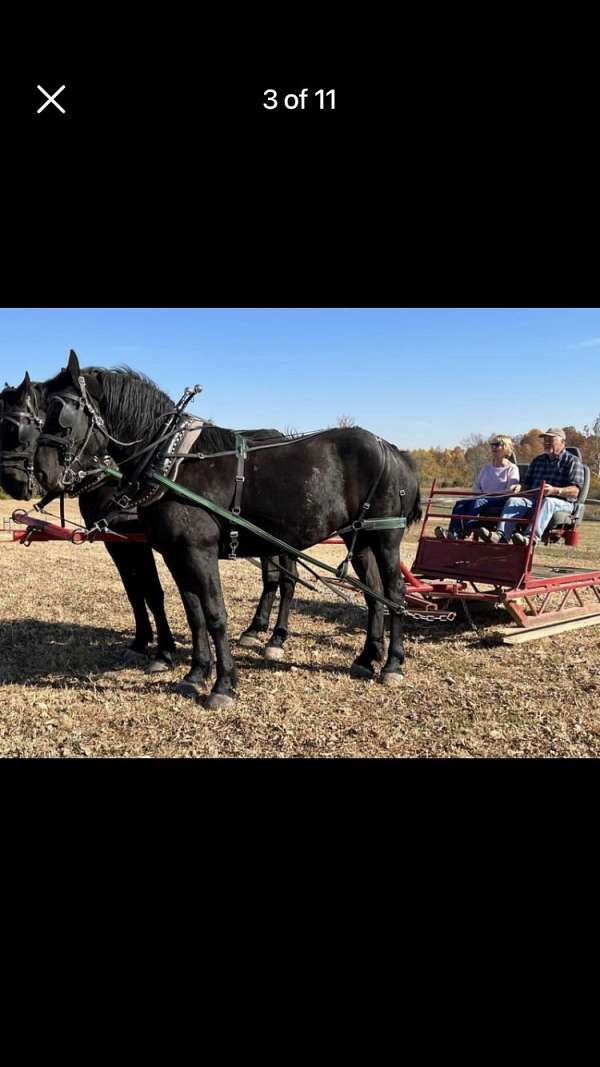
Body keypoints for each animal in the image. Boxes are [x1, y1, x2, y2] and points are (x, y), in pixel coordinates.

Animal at [1, 367, 296, 665]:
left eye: (22, 426)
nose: (12, 481)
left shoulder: (141, 543)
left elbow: (152, 591)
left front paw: (164, 650)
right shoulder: (117, 543)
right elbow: (134, 591)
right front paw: (142, 641)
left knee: (287, 580)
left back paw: (276, 638)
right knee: (272, 579)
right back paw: (255, 628)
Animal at [34, 354, 418, 712]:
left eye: (64, 410)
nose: (41, 472)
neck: (172, 462)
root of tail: (392, 450)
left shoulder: (199, 551)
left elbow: (216, 614)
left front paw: (223, 685)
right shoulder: (175, 553)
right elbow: (194, 613)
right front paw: (195, 674)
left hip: (386, 536)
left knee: (394, 592)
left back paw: (392, 665)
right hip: (361, 538)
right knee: (373, 595)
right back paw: (366, 658)